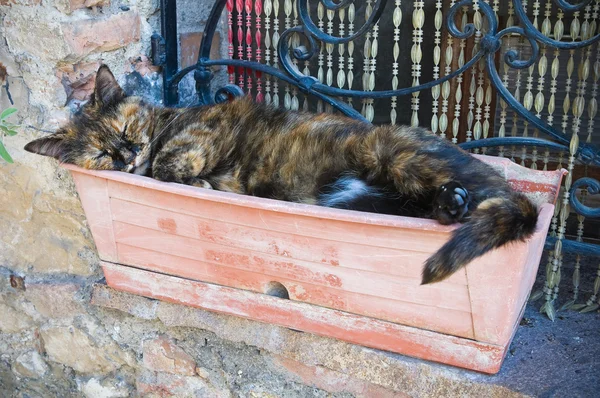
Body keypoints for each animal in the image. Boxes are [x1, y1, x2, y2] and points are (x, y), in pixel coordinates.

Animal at [24, 64, 540, 282]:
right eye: (100, 155)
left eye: (126, 128)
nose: (127, 154)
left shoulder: (207, 129)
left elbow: (173, 161)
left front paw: (192, 177)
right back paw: (449, 205)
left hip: (392, 154)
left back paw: (456, 200)